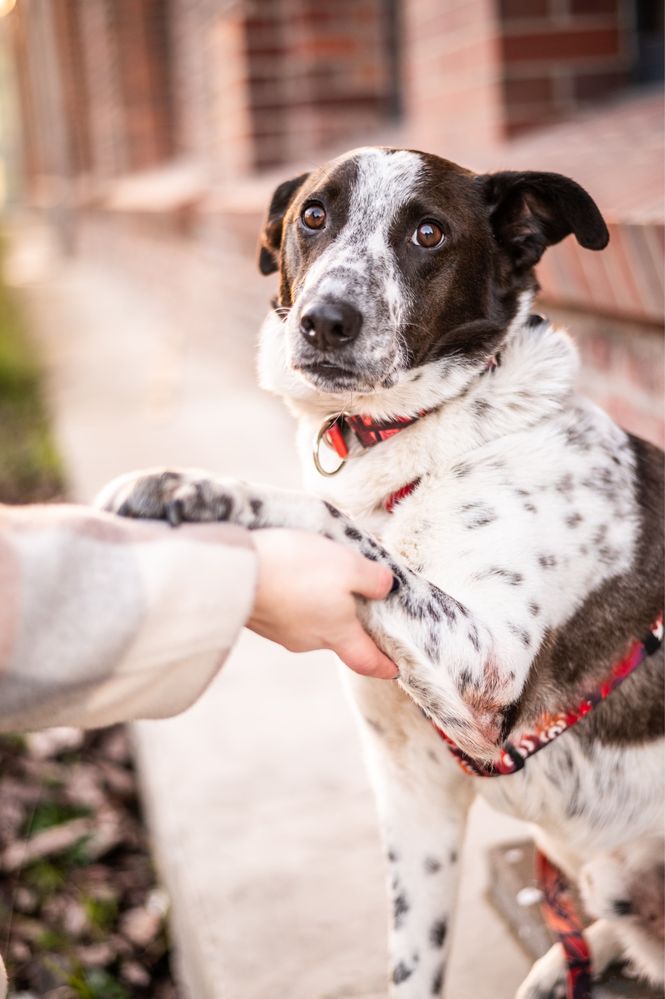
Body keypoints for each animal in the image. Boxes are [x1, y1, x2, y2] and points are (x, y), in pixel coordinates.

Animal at [98, 148, 664, 999]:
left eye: (428, 232)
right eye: (312, 216)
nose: (325, 320)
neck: (425, 434)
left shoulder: (487, 670)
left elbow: (336, 524)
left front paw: (193, 487)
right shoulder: (412, 785)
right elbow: (411, 956)